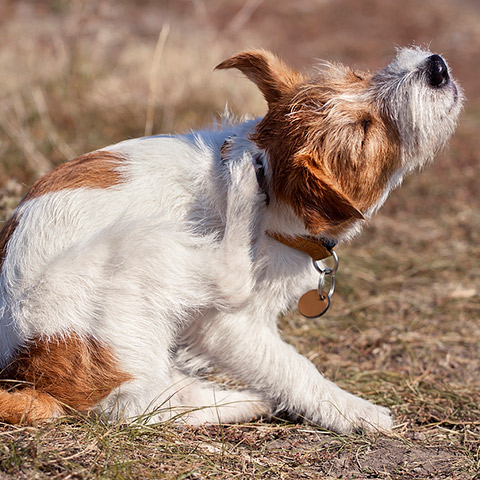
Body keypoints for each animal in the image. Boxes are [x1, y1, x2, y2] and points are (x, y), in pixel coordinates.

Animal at [0, 47, 462, 434]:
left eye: (358, 75)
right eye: (365, 129)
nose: (437, 66)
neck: (271, 179)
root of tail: (33, 376)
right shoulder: (230, 327)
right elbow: (295, 368)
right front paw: (356, 412)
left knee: (163, 400)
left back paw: (248, 402)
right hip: (137, 246)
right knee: (145, 399)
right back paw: (242, 191)